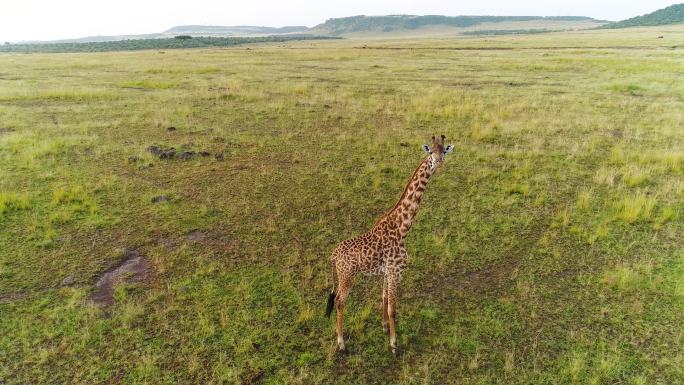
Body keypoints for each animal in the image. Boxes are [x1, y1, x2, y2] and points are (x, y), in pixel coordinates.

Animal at [326, 134, 454, 354]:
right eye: (430, 152)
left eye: (444, 151)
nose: (439, 164)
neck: (402, 228)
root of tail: (333, 256)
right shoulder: (396, 270)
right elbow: (393, 308)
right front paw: (394, 345)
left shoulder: (388, 270)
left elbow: (384, 298)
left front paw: (384, 327)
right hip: (348, 277)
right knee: (339, 302)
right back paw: (341, 344)